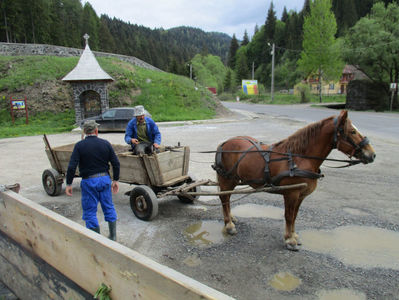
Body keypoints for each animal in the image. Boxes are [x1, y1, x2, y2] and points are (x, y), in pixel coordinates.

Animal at [214, 110, 376, 251]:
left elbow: (295, 216)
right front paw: (289, 240)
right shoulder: (291, 193)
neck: (300, 158)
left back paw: (231, 218)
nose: (372, 154)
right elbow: (288, 216)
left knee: (227, 198)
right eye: (352, 131)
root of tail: (225, 143)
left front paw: (294, 235)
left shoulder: (300, 195)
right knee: (225, 198)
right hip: (227, 179)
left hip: (234, 180)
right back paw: (229, 225)